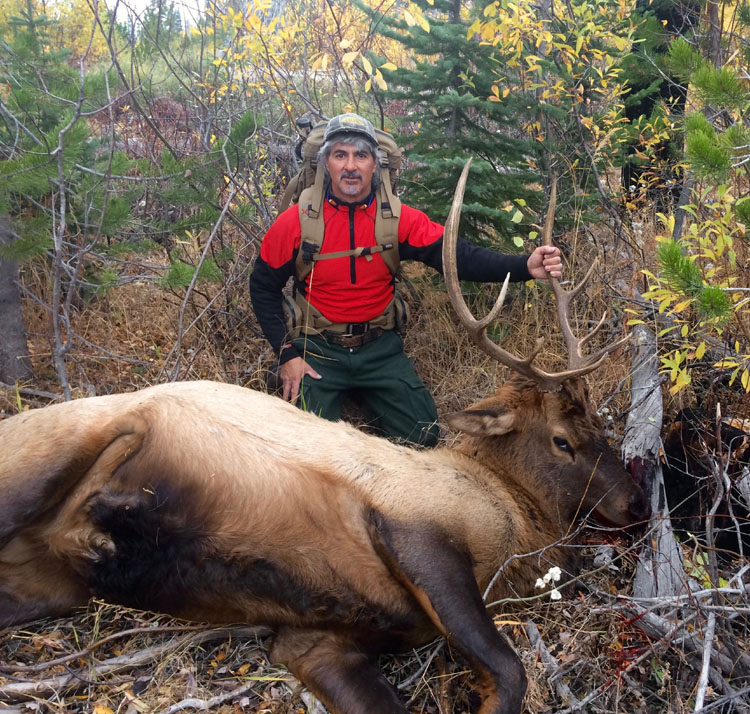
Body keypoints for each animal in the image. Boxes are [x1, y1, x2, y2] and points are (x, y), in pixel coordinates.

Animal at [0, 164, 648, 714]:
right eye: (563, 439)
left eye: (599, 425)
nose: (636, 500)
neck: (514, 524)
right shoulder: (414, 529)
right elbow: (510, 673)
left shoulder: (312, 638)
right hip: (49, 455)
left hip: (50, 585)